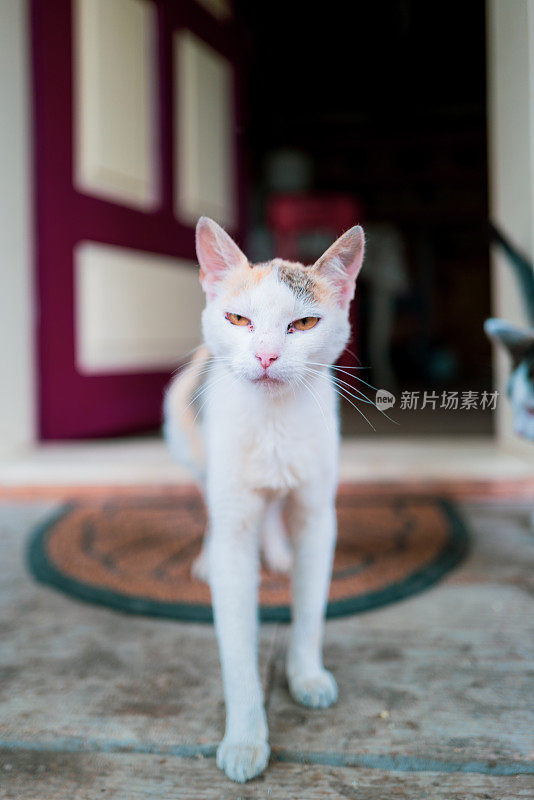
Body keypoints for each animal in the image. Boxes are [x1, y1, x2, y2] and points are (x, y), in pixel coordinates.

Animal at [164, 216, 364, 784]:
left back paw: (276, 551)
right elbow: (236, 644)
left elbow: (311, 606)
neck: (273, 421)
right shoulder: (235, 524)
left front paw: (306, 673)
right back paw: (209, 557)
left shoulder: (318, 515)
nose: (267, 356)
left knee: (273, 510)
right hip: (189, 436)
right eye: (238, 319)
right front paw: (246, 738)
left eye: (304, 323)